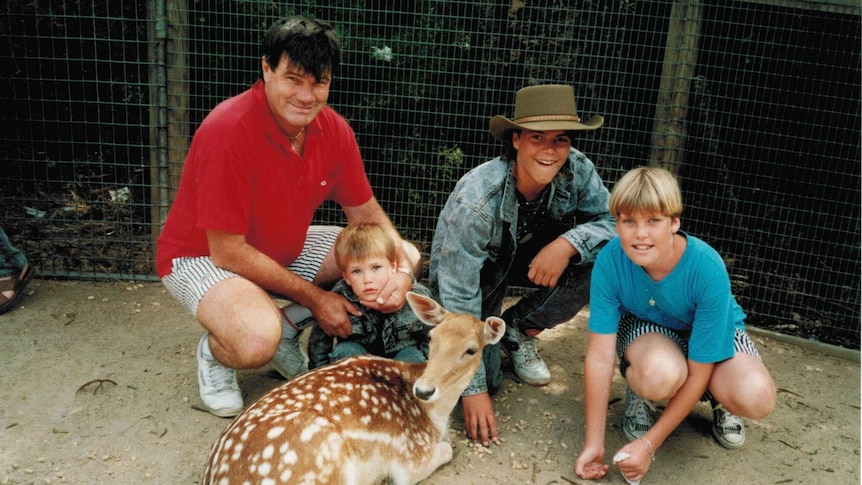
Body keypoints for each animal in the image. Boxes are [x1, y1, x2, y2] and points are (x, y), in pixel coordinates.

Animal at [202, 292, 506, 484]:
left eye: (471, 349)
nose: (424, 390)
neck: (433, 417)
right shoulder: (410, 457)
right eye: (432, 337)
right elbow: (446, 450)